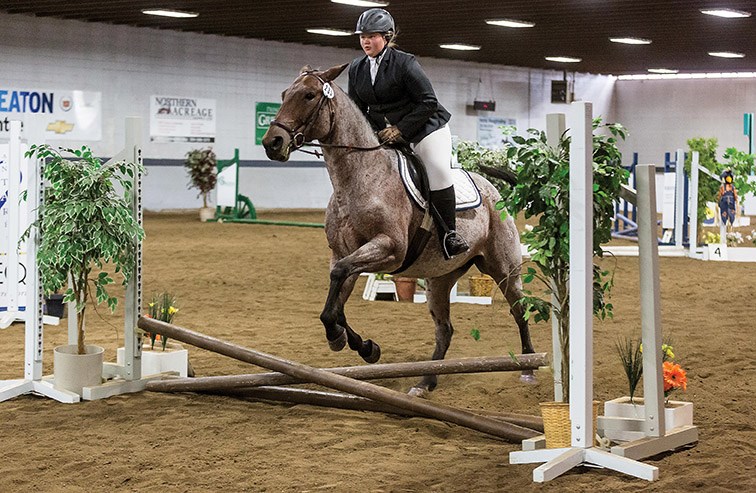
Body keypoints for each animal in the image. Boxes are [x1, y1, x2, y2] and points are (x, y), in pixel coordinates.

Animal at [262, 64, 536, 396]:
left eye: (309, 95)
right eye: (283, 94)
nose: (272, 143)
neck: (358, 178)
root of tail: (494, 189)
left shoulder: (389, 248)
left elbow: (338, 285)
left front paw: (350, 341)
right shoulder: (344, 253)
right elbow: (336, 297)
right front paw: (356, 343)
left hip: (503, 268)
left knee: (519, 311)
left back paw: (528, 368)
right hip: (440, 279)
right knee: (445, 329)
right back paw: (425, 381)